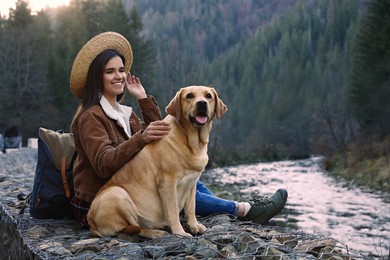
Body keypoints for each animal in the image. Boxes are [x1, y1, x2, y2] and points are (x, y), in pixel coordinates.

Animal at [87, 86, 227, 240]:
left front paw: (194, 226)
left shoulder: (192, 182)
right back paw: (157, 233)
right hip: (117, 194)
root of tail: (92, 224)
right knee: (136, 227)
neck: (192, 142)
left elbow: (191, 208)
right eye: (189, 96)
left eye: (208, 96)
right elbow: (172, 211)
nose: (202, 103)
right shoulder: (167, 183)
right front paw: (180, 232)